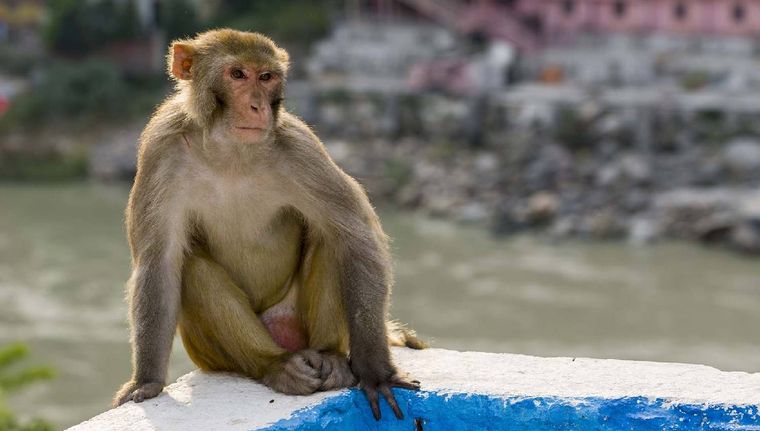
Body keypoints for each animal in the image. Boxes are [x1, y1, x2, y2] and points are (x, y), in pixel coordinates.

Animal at [111, 29, 426, 421]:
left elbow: (356, 237)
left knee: (332, 240)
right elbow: (159, 262)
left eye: (266, 77)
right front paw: (147, 381)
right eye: (237, 74)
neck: (230, 151)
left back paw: (332, 359)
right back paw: (274, 365)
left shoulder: (300, 146)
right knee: (194, 269)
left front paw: (375, 371)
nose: (258, 107)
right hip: (212, 354)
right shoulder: (161, 147)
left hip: (295, 319)